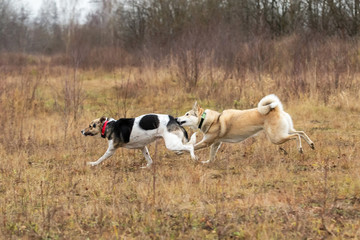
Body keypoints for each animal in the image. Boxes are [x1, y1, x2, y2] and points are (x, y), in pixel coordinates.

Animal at [178, 94, 316, 163]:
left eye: (187, 114)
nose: (177, 119)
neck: (210, 119)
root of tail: (275, 108)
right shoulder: (216, 144)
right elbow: (212, 156)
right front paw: (207, 163)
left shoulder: (207, 142)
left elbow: (191, 146)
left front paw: (180, 151)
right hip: (284, 131)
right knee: (301, 132)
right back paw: (311, 144)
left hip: (276, 138)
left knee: (296, 136)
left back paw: (300, 149)